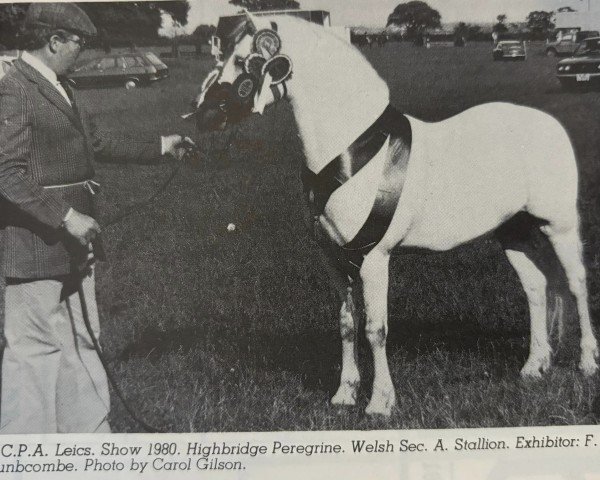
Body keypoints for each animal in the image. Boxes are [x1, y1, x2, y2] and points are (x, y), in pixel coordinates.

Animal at [195, 13, 596, 414]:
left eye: (245, 60)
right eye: (223, 56)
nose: (205, 115)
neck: (352, 151)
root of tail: (548, 124)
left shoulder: (374, 258)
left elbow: (376, 328)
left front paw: (380, 402)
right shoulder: (335, 259)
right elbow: (346, 323)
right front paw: (344, 394)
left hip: (559, 226)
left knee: (576, 283)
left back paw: (587, 362)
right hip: (513, 232)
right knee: (536, 287)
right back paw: (534, 366)